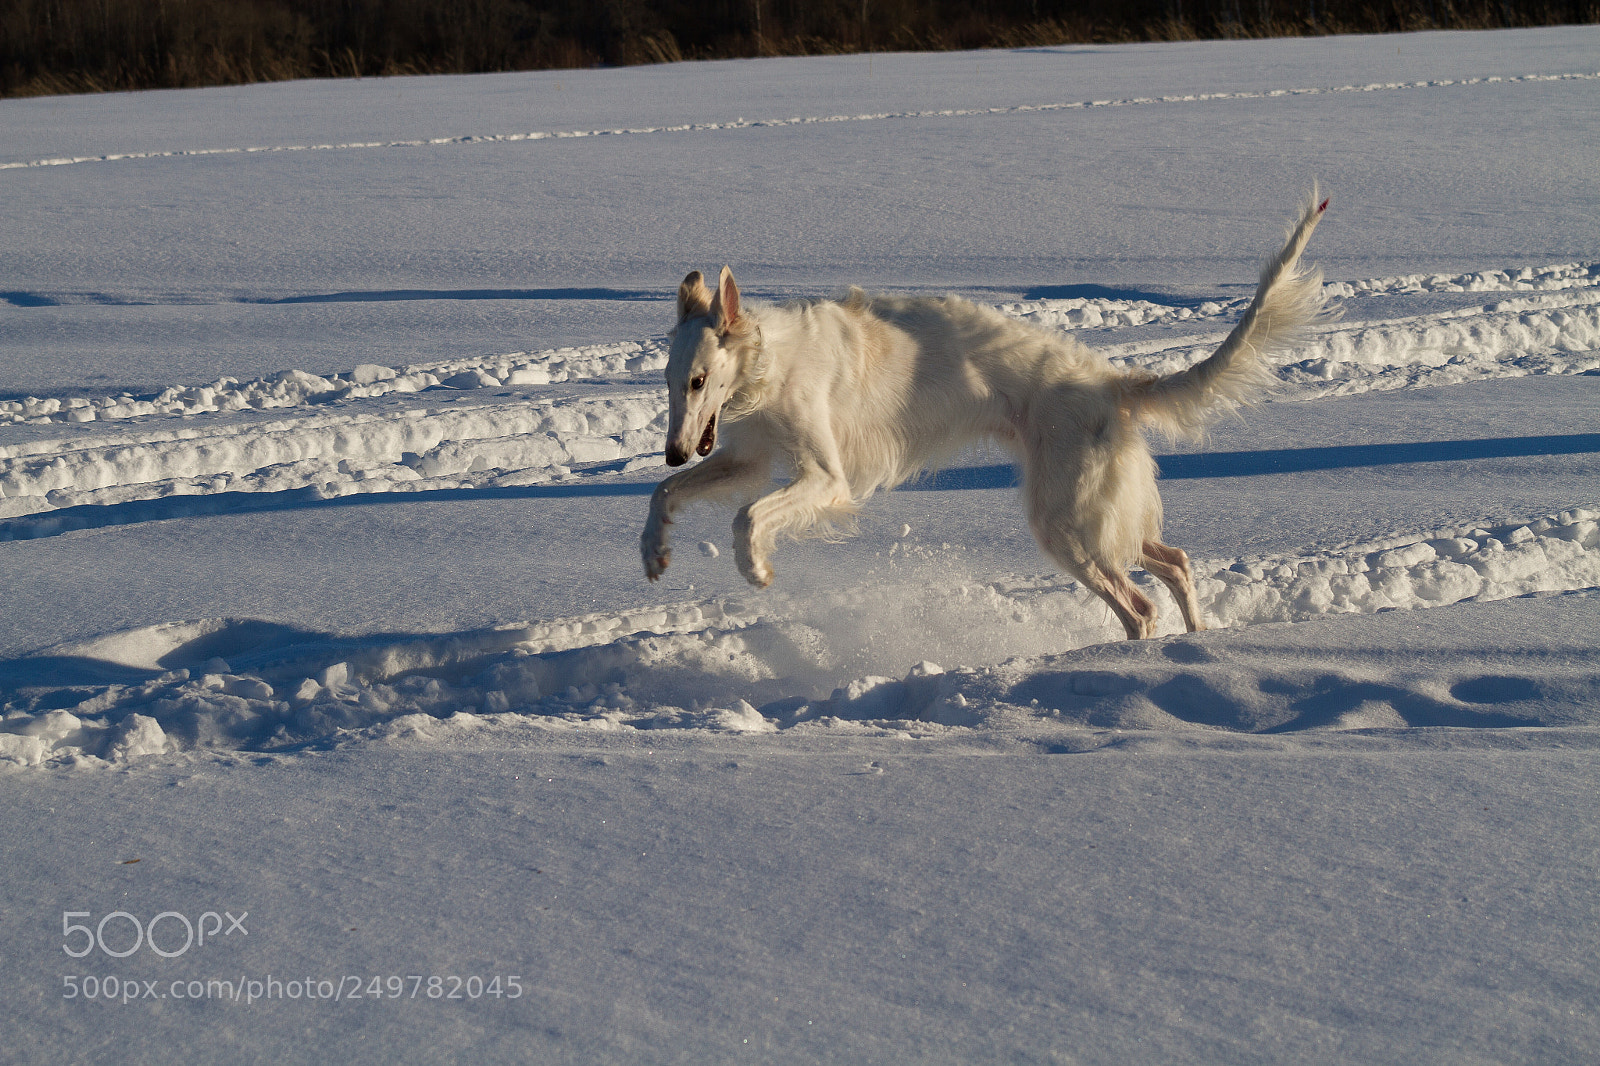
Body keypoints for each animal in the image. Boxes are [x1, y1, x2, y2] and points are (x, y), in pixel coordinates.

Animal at [636, 192, 1324, 640]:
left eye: (700, 380)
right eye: (669, 382)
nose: (674, 450)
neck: (772, 363)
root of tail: (1109, 383)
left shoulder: (826, 478)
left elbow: (748, 517)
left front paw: (755, 568)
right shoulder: (747, 457)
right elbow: (663, 492)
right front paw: (653, 554)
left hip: (1064, 520)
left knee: (1139, 607)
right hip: (1097, 517)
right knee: (1174, 562)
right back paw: (1196, 640)